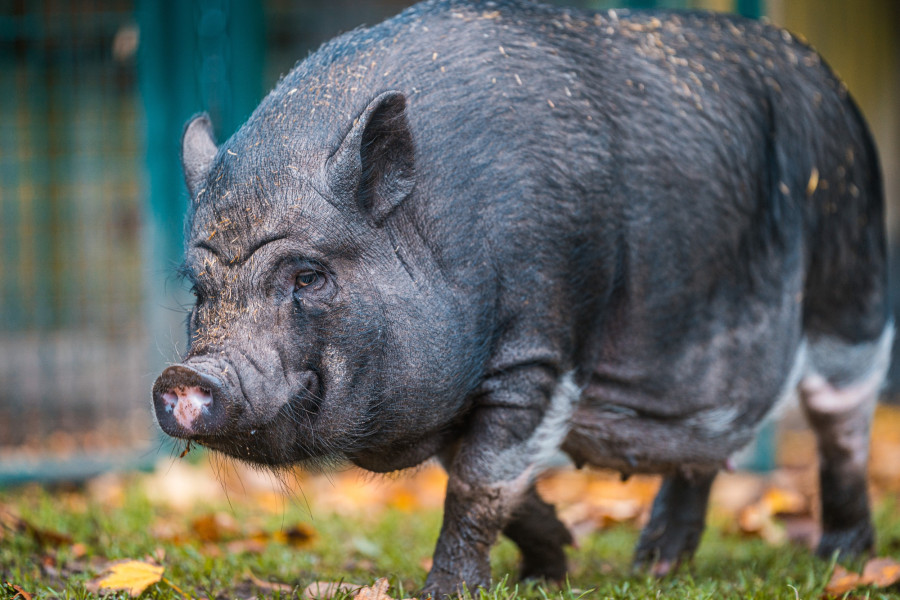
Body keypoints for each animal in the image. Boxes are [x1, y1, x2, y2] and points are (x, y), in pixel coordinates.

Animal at [152, 0, 893, 595]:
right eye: (199, 286)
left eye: (308, 276)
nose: (184, 376)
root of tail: (836, 87)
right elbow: (491, 476)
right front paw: (549, 568)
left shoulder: (538, 353)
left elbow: (480, 480)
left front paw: (453, 590)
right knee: (707, 438)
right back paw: (652, 567)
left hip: (853, 286)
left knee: (842, 425)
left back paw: (842, 560)